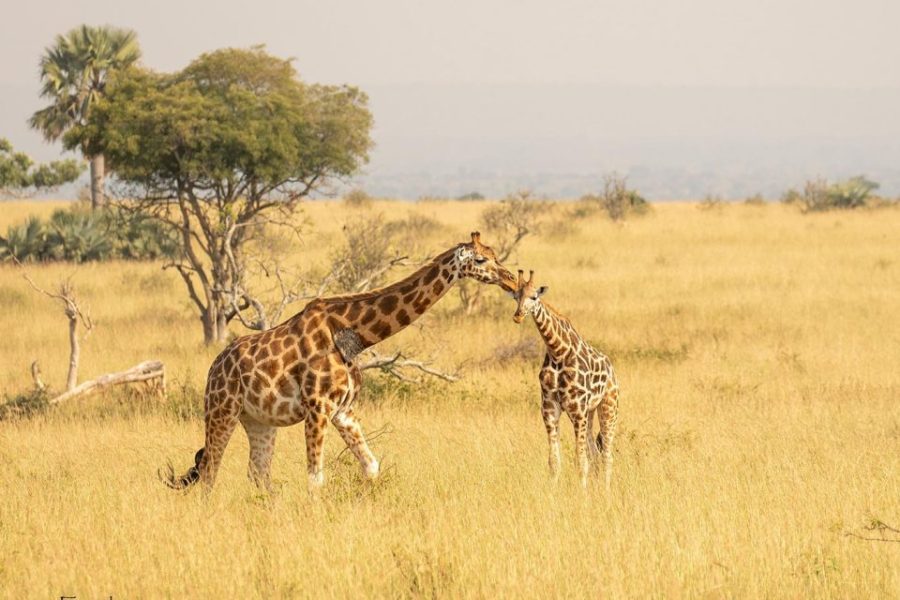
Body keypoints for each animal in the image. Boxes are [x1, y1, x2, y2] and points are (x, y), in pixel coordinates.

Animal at [162, 232, 516, 493]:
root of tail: (214, 367)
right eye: (482, 259)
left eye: (497, 254)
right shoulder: (317, 407)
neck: (355, 334)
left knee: (258, 473)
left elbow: (371, 466)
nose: (512, 281)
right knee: (210, 472)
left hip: (258, 420)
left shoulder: (343, 410)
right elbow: (315, 479)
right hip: (222, 410)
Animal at [511, 270, 619, 489]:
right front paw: (553, 492)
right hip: (590, 412)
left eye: (534, 297)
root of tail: (612, 370)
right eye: (516, 296)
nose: (518, 316)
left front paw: (582, 494)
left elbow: (580, 460)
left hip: (608, 407)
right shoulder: (550, 408)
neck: (558, 352)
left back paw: (605, 490)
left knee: (606, 454)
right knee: (594, 453)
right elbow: (554, 461)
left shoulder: (577, 409)